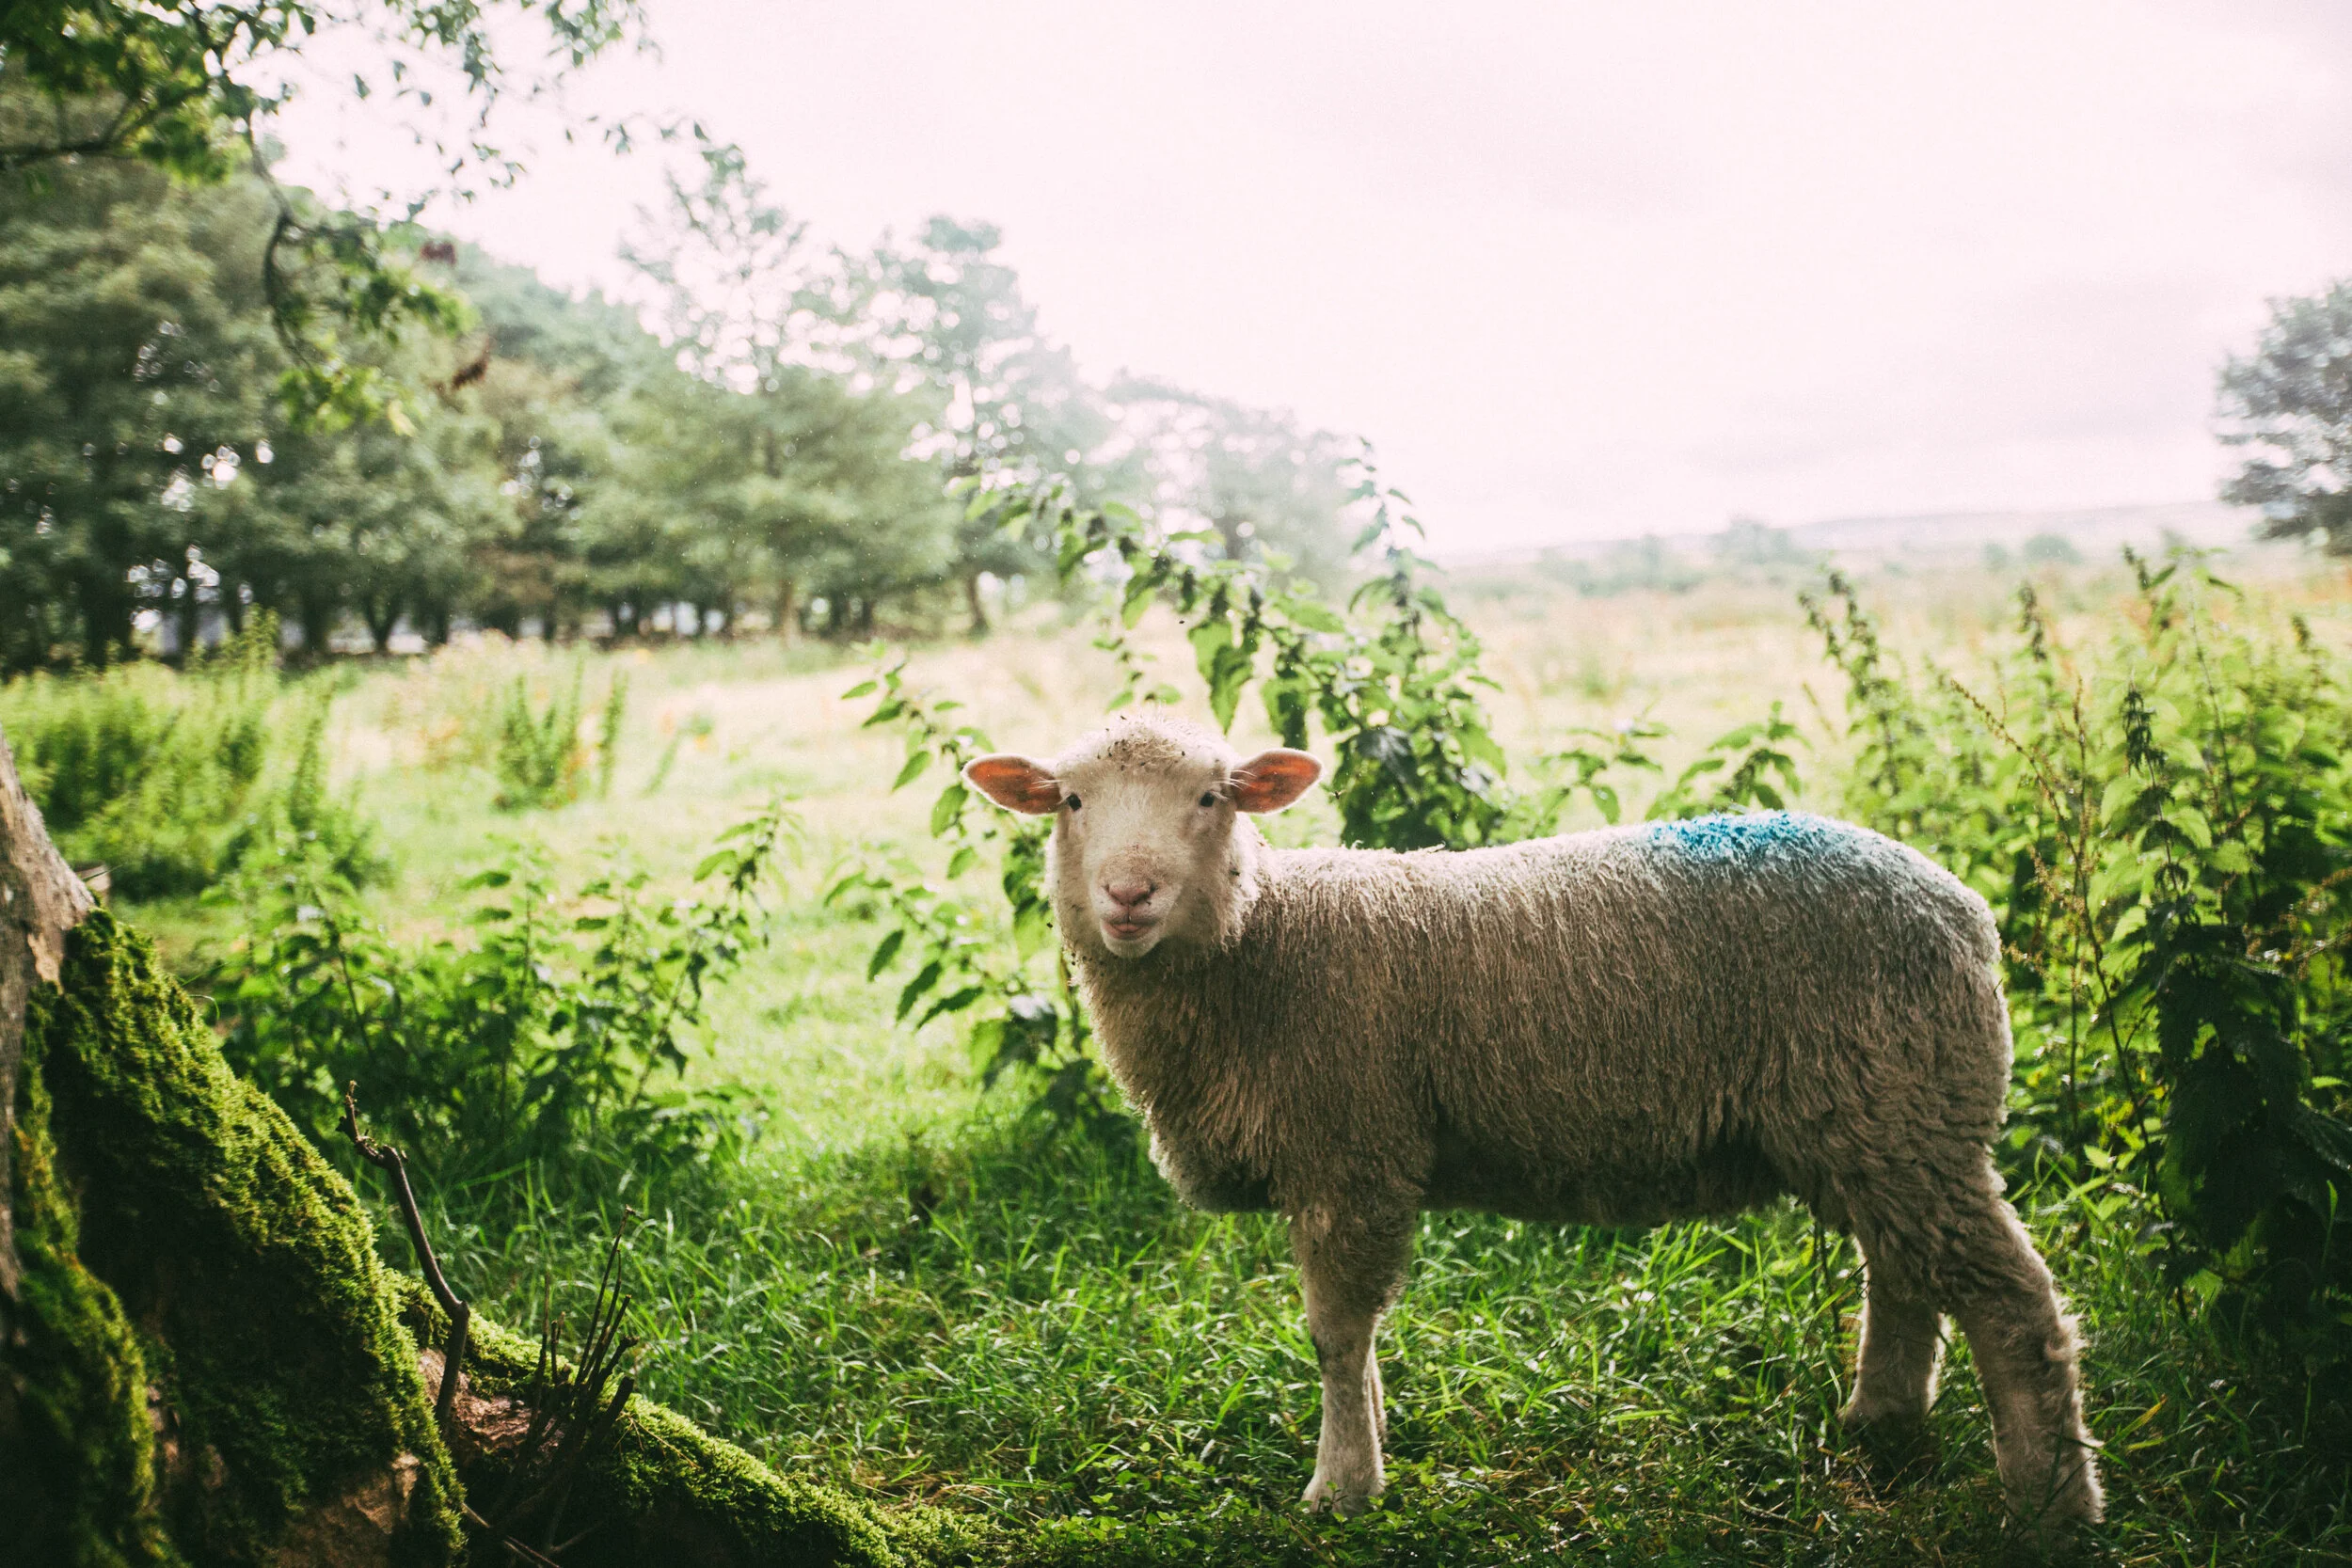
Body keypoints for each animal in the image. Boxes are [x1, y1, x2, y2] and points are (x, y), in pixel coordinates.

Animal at [963, 711, 2102, 1527]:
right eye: (1070, 800)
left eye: (1212, 797)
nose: (1127, 895)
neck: (1262, 945)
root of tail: (1963, 908)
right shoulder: (1347, 1158)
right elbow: (1356, 1338)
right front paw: (1371, 1439)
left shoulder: (1350, 1149)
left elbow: (1335, 1331)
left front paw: (1343, 1486)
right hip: (1875, 1115)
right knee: (1903, 1272)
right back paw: (1878, 1426)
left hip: (1905, 1103)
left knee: (2013, 1303)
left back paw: (2051, 1504)